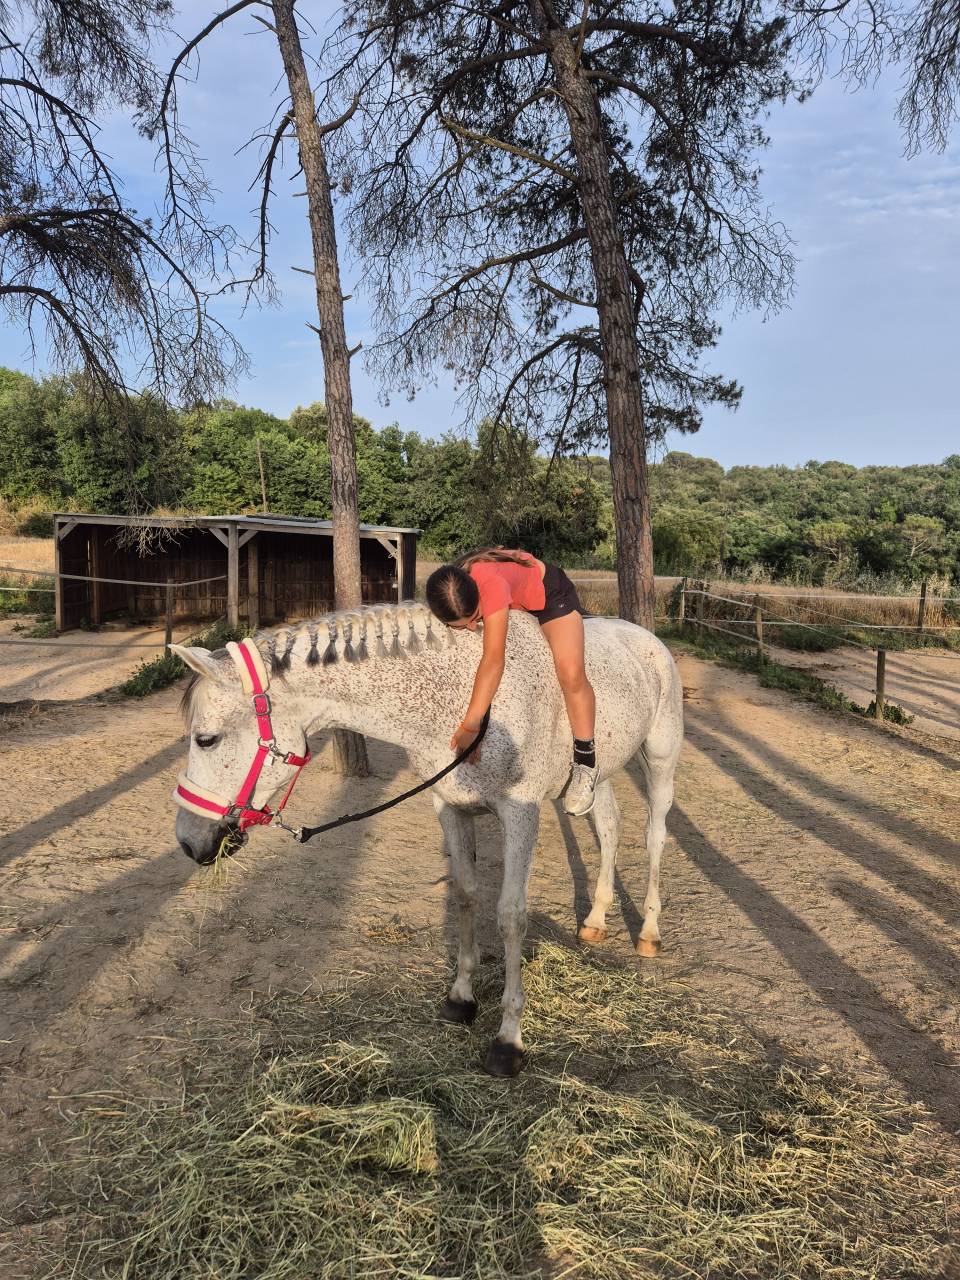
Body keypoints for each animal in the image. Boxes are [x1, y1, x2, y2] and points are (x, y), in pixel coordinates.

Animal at [171, 604, 683, 1076]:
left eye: (206, 739)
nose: (188, 841)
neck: (467, 697)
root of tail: (645, 637)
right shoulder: (449, 807)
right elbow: (466, 895)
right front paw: (461, 998)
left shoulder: (520, 814)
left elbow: (511, 917)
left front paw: (508, 1041)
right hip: (599, 777)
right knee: (610, 829)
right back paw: (595, 920)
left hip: (660, 762)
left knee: (653, 837)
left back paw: (648, 932)